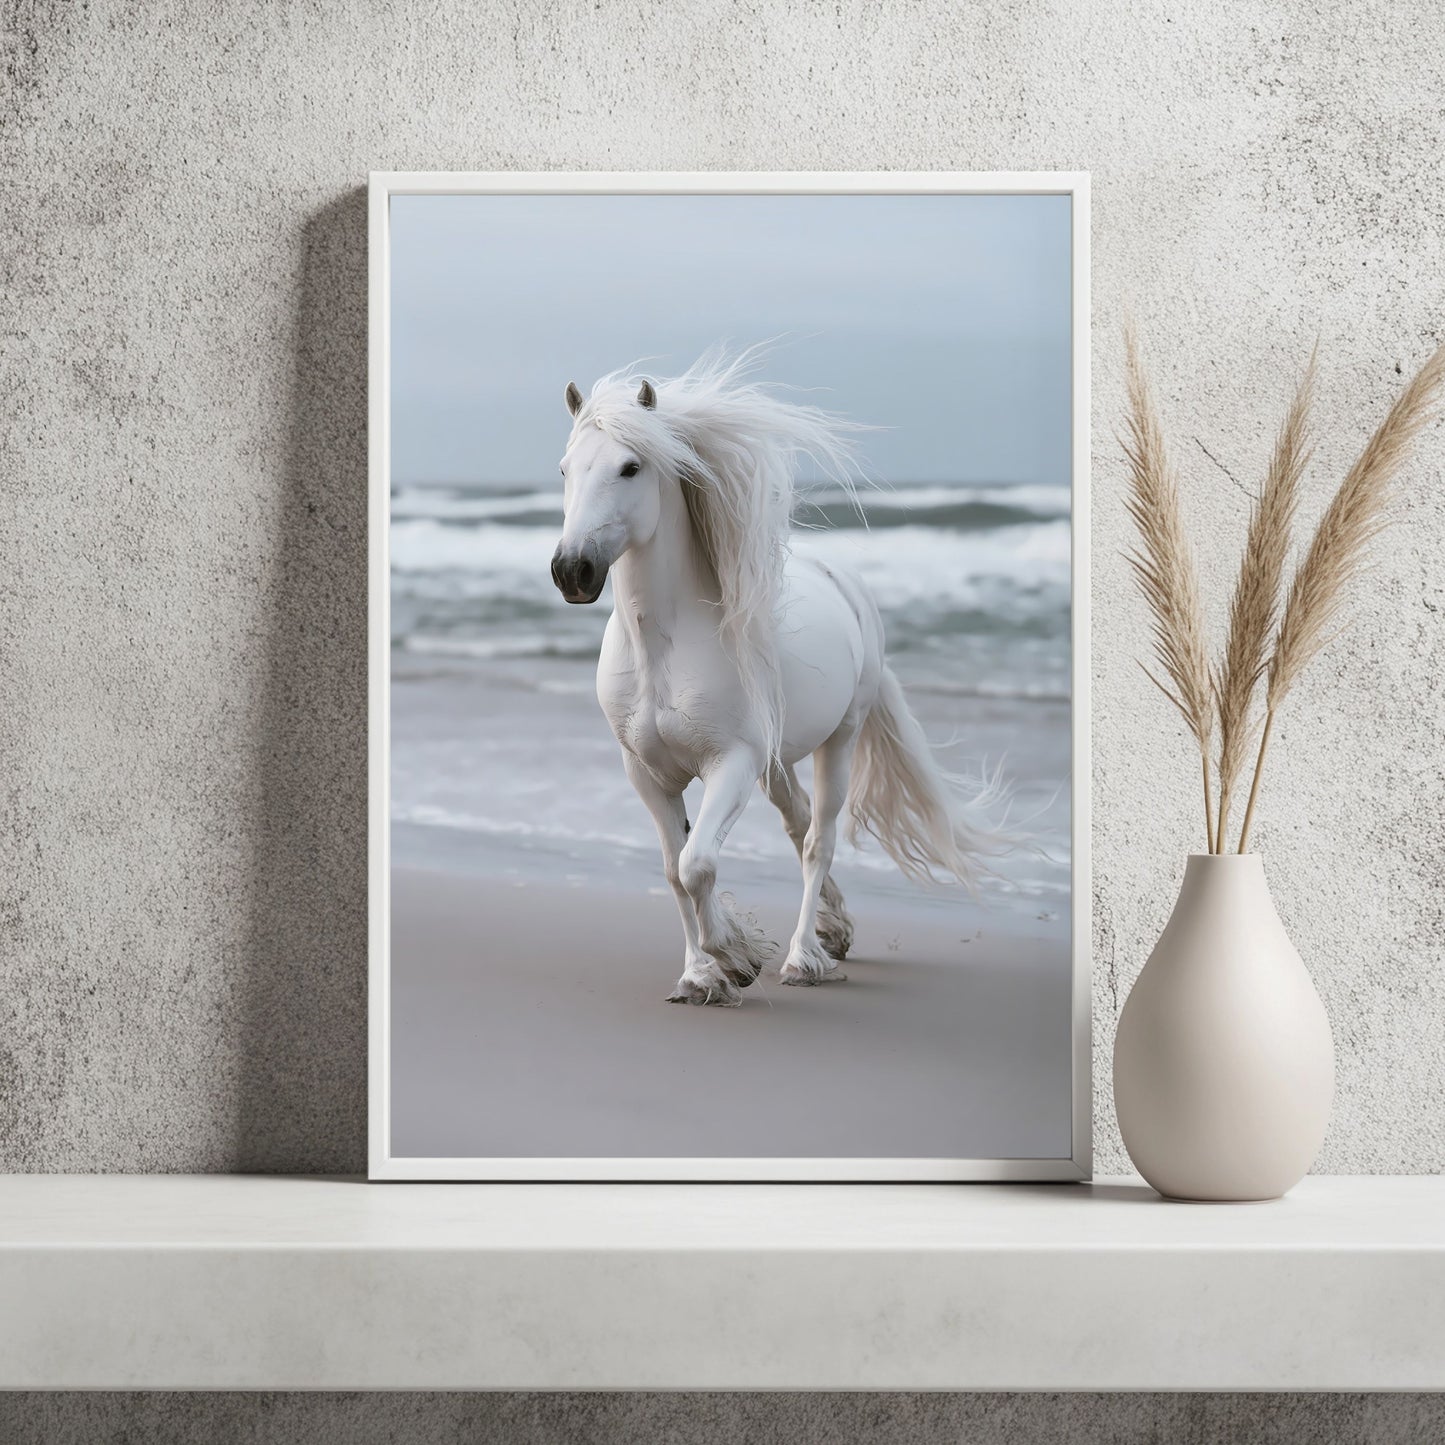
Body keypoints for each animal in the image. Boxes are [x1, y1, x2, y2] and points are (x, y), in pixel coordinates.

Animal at [549, 350, 1012, 1006]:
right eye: (565, 468)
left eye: (630, 467)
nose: (572, 571)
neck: (662, 651)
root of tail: (846, 582)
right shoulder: (646, 774)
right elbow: (673, 870)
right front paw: (698, 976)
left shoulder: (732, 765)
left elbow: (696, 864)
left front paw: (738, 959)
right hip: (776, 761)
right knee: (797, 825)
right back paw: (833, 930)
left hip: (837, 741)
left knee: (818, 839)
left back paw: (802, 957)